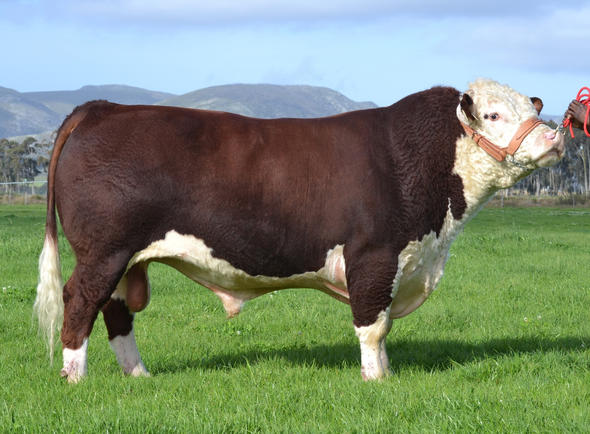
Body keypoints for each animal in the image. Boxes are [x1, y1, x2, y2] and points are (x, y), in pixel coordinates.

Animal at [34, 79, 568, 384]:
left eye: (531, 108)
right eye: (494, 115)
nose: (554, 137)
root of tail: (103, 107)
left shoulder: (400, 261)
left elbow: (384, 325)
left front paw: (388, 374)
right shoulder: (373, 256)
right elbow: (372, 325)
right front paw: (375, 381)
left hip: (125, 259)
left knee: (117, 312)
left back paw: (140, 376)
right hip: (103, 251)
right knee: (80, 302)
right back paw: (75, 378)